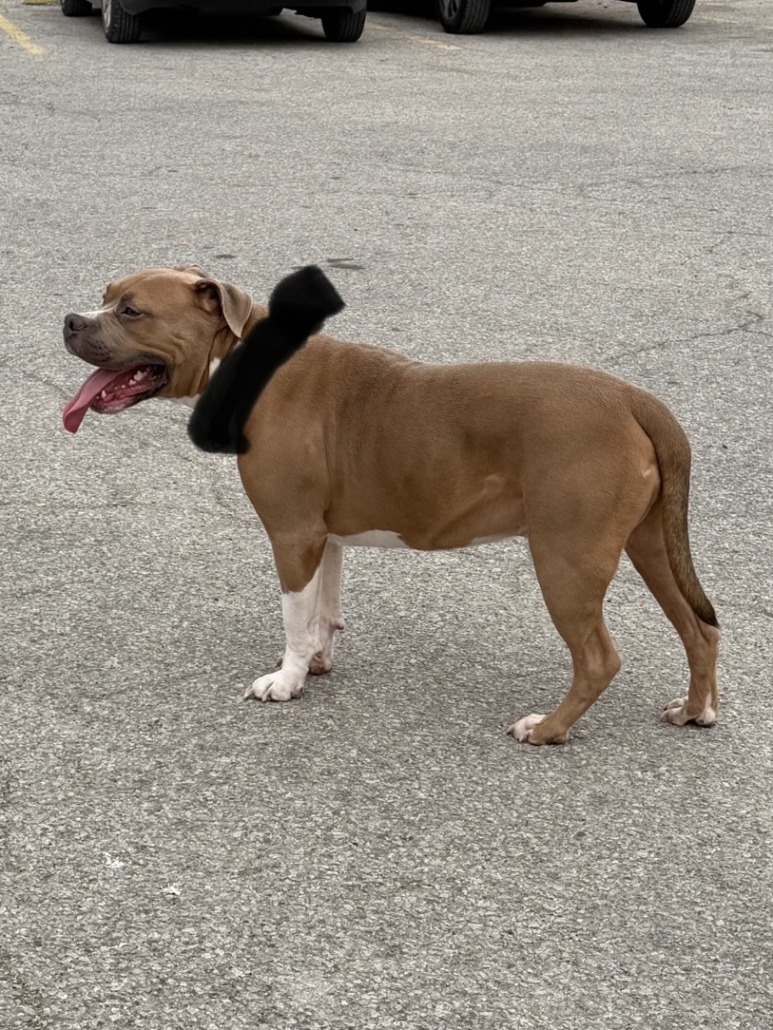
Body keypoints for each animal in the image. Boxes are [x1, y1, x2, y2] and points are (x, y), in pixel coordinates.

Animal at [62, 265, 719, 745]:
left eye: (131, 310)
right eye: (106, 296)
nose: (69, 319)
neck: (248, 360)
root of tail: (634, 398)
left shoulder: (292, 534)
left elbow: (295, 617)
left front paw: (286, 680)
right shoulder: (323, 536)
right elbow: (324, 609)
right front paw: (317, 663)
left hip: (566, 560)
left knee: (599, 659)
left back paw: (547, 729)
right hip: (649, 546)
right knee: (699, 627)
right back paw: (695, 711)